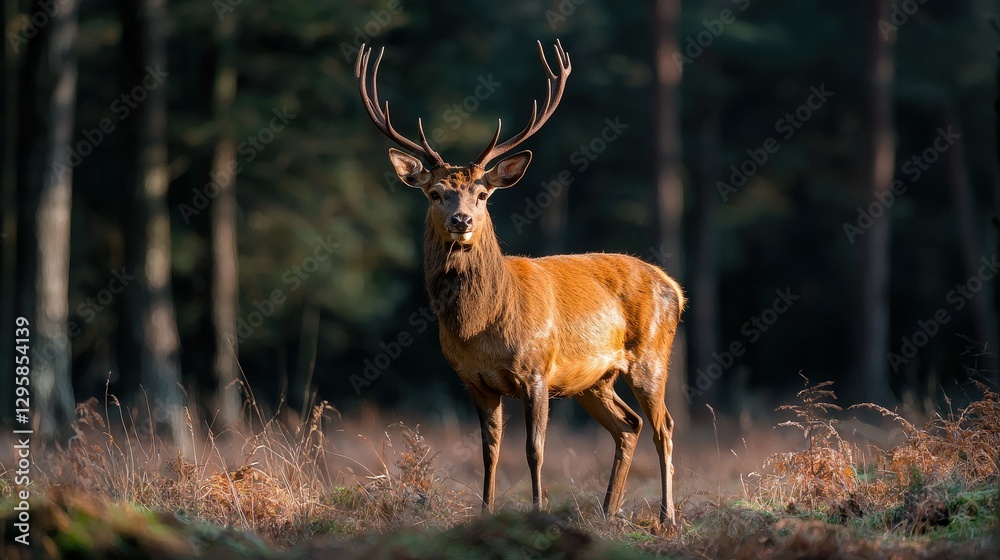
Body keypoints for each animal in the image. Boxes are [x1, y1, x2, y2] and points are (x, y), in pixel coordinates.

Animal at [355, 40, 685, 526]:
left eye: (483, 194)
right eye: (435, 193)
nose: (461, 221)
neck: (481, 324)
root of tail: (674, 287)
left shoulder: (537, 370)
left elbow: (534, 449)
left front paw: (537, 509)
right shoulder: (472, 379)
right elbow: (489, 451)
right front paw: (486, 511)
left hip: (651, 356)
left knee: (664, 426)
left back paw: (666, 516)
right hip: (595, 380)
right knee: (629, 425)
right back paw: (608, 510)